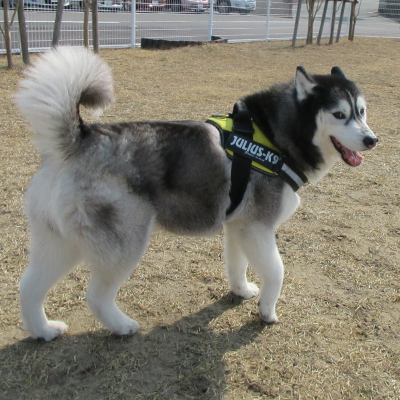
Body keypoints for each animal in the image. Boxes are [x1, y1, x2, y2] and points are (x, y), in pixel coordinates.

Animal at [16, 47, 378, 341]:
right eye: (339, 114)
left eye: (362, 111)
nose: (372, 140)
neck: (275, 138)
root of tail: (82, 137)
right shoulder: (257, 228)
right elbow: (277, 271)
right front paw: (267, 311)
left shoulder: (239, 227)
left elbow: (236, 265)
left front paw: (241, 291)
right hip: (123, 244)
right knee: (96, 296)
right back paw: (122, 326)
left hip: (60, 242)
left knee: (28, 287)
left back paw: (43, 331)